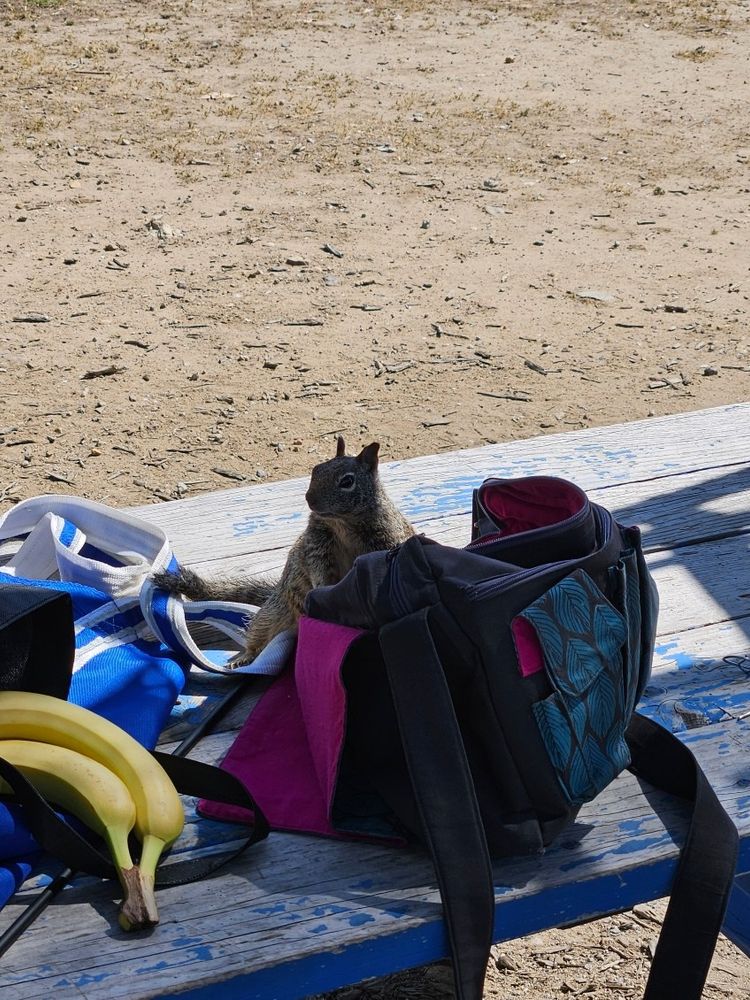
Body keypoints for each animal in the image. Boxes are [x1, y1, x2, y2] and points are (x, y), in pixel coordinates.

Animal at [153, 437, 415, 665]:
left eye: (347, 482)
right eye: (316, 469)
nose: (310, 499)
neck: (343, 523)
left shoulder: (384, 535)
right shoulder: (317, 541)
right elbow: (317, 566)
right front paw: (321, 587)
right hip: (273, 614)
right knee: (257, 634)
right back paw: (244, 657)